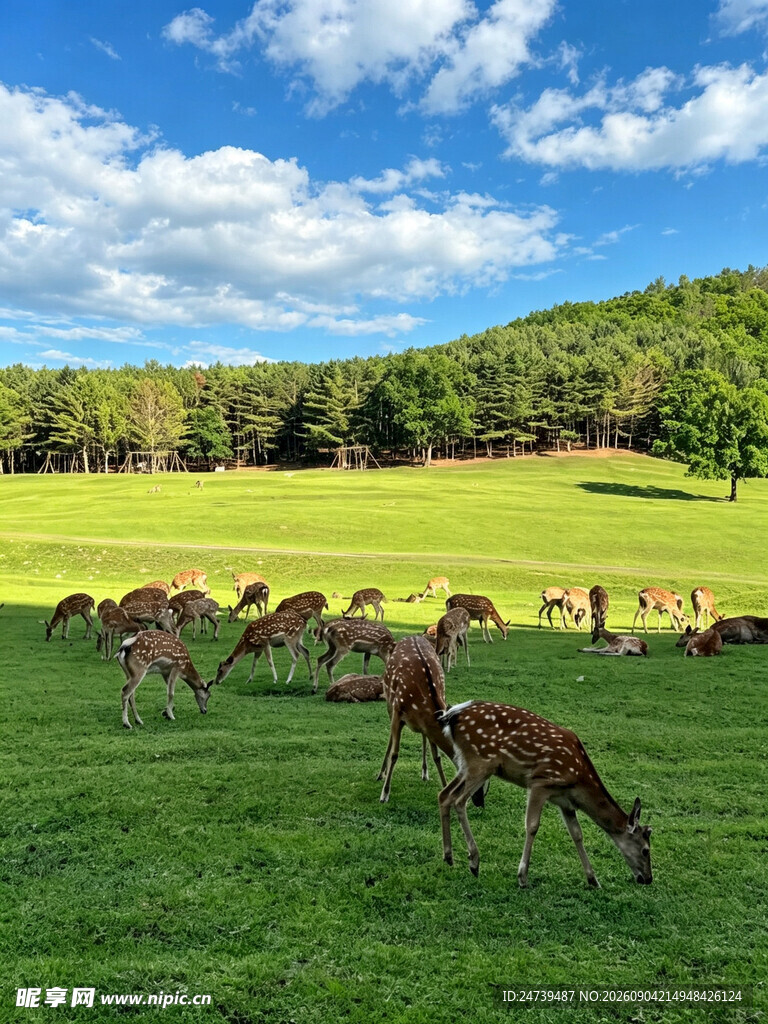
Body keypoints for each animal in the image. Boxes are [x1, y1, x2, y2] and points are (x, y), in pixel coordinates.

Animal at [436, 700, 653, 888]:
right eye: (645, 850)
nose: (648, 879)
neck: (578, 780)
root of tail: (452, 715)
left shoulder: (565, 802)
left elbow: (577, 834)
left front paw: (593, 880)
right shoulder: (540, 782)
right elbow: (532, 826)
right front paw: (522, 877)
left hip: (467, 764)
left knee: (445, 794)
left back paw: (448, 857)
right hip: (481, 761)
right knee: (459, 800)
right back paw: (474, 862)